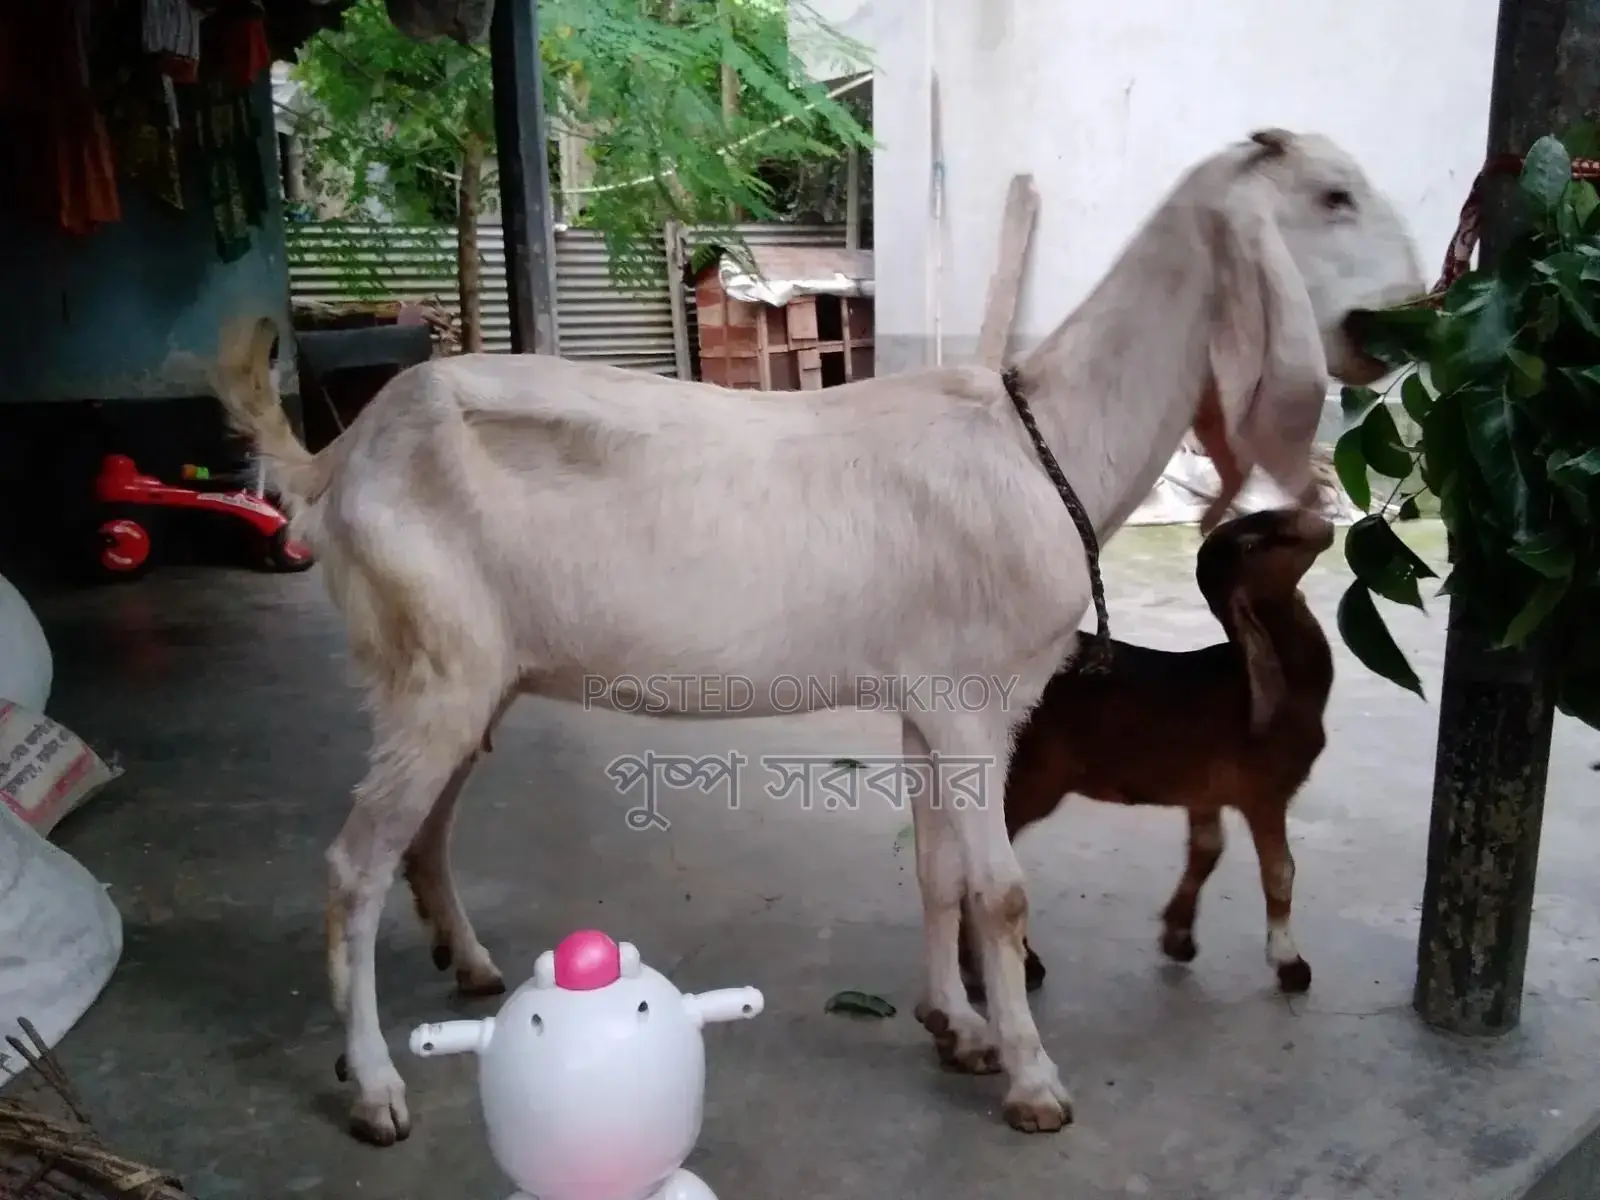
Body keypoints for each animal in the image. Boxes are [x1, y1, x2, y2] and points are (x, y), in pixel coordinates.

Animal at [957, 506, 1336, 1003]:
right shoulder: (1265, 792)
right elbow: (1280, 873)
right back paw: (990, 970)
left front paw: (1178, 936)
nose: (1322, 524)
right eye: (1253, 545)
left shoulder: (1205, 791)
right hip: (1030, 779)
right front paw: (1290, 965)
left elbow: (1207, 850)